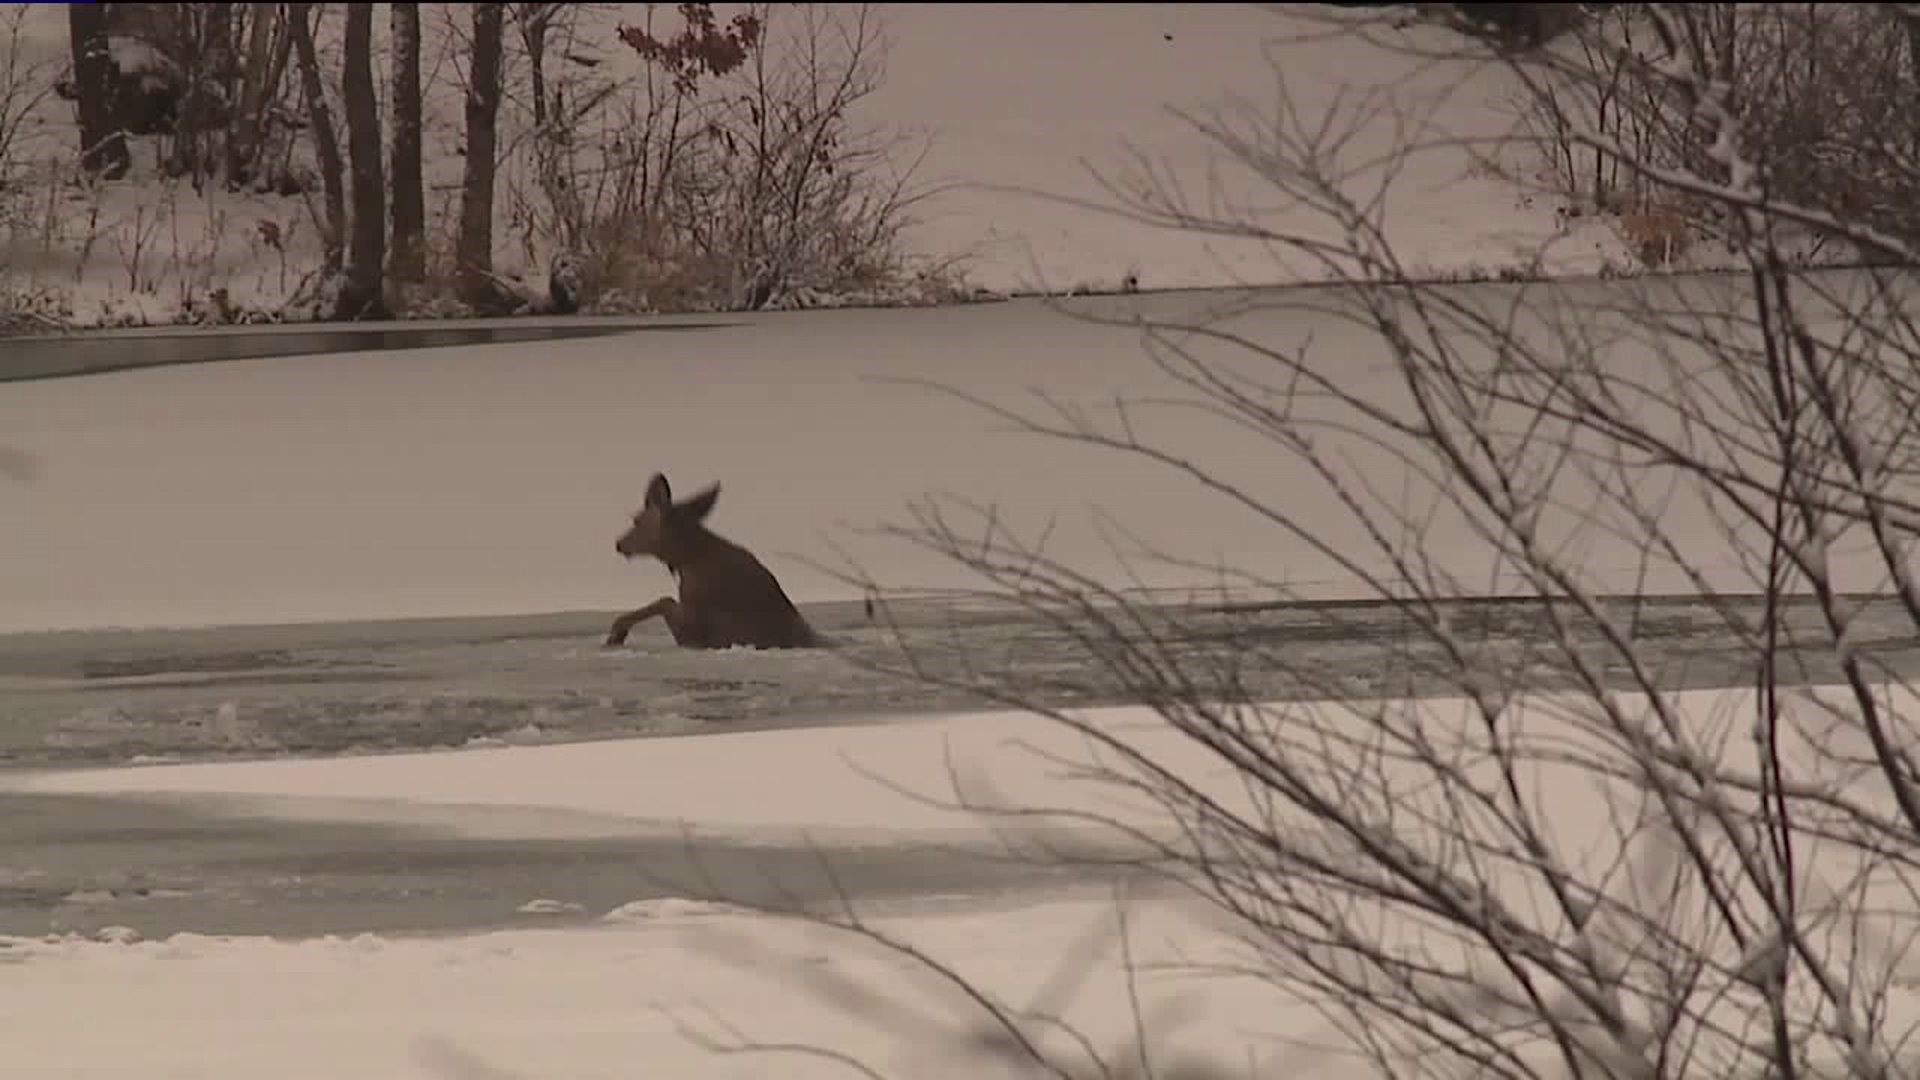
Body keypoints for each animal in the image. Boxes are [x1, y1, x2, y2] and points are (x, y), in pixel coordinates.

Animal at [599, 470, 825, 645]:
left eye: (636, 520)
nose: (619, 543)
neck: (688, 561)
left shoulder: (697, 634)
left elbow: (665, 600)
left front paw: (617, 631)